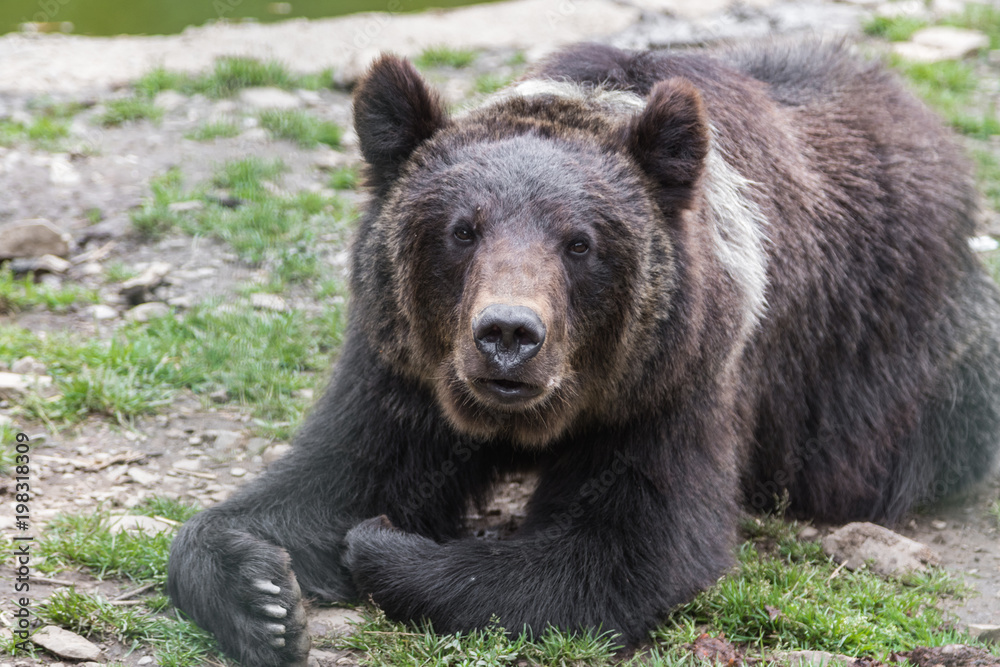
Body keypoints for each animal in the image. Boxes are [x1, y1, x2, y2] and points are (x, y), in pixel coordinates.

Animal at [168, 39, 1000, 664]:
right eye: (461, 229)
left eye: (580, 242)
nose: (508, 334)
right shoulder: (406, 369)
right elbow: (330, 478)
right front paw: (265, 596)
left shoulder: (679, 378)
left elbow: (624, 549)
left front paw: (381, 542)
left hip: (894, 363)